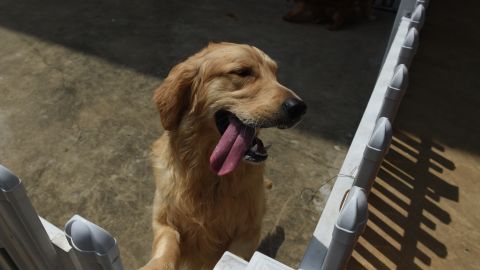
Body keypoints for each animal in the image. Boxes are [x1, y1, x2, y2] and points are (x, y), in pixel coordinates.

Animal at [142, 42, 308, 270]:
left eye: (275, 74)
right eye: (242, 72)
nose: (299, 107)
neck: (211, 177)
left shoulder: (249, 232)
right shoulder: (163, 220)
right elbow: (167, 243)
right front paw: (157, 264)